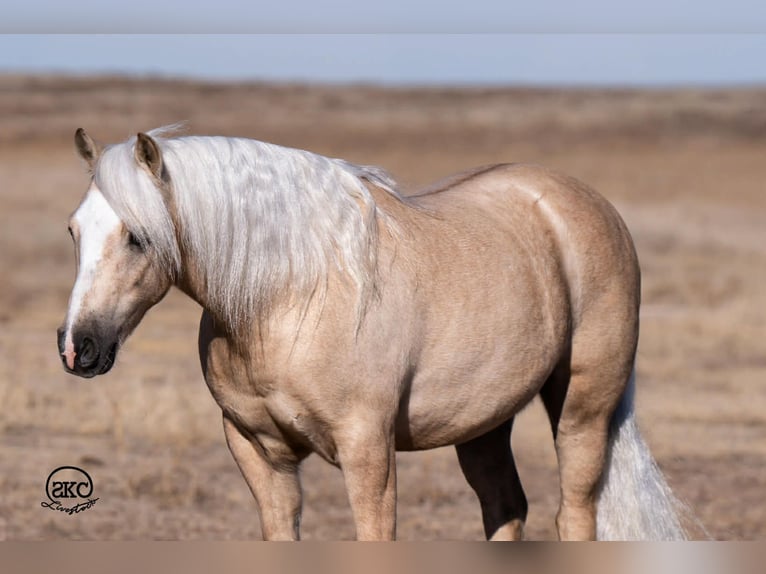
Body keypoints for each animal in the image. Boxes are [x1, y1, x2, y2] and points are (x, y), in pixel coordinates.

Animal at [57, 126, 687, 540]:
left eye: (138, 237)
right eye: (73, 230)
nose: (76, 347)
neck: (287, 298)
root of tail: (584, 202)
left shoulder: (367, 453)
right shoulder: (260, 455)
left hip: (583, 408)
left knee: (575, 512)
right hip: (483, 423)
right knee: (505, 506)